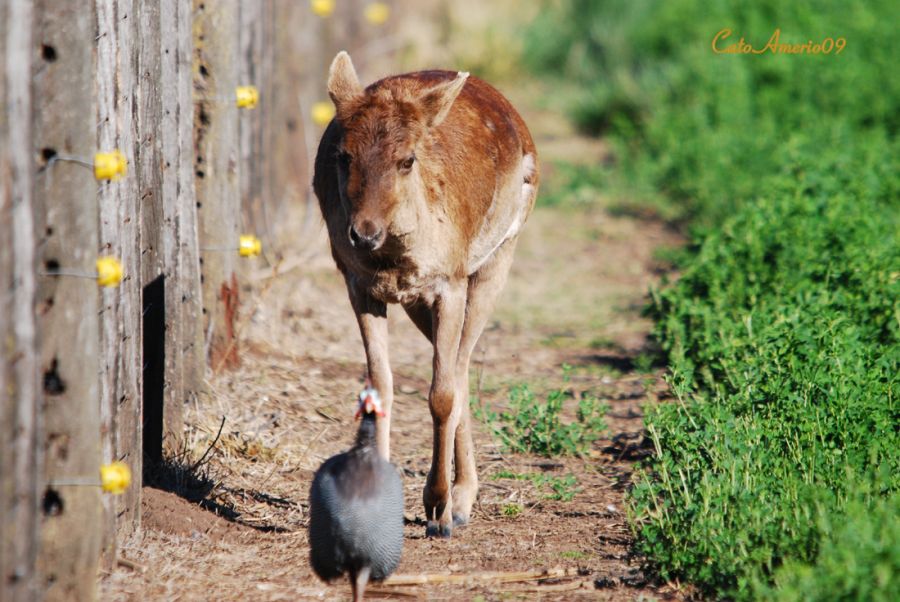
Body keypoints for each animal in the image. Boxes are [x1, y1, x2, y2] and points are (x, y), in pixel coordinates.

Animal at [314, 51, 536, 536]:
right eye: (342, 155)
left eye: (407, 160)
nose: (363, 233)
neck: (394, 263)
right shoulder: (357, 283)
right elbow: (380, 384)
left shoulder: (448, 282)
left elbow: (441, 394)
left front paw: (438, 508)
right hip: (420, 303)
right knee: (456, 365)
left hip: (499, 255)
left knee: (461, 365)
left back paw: (462, 503)